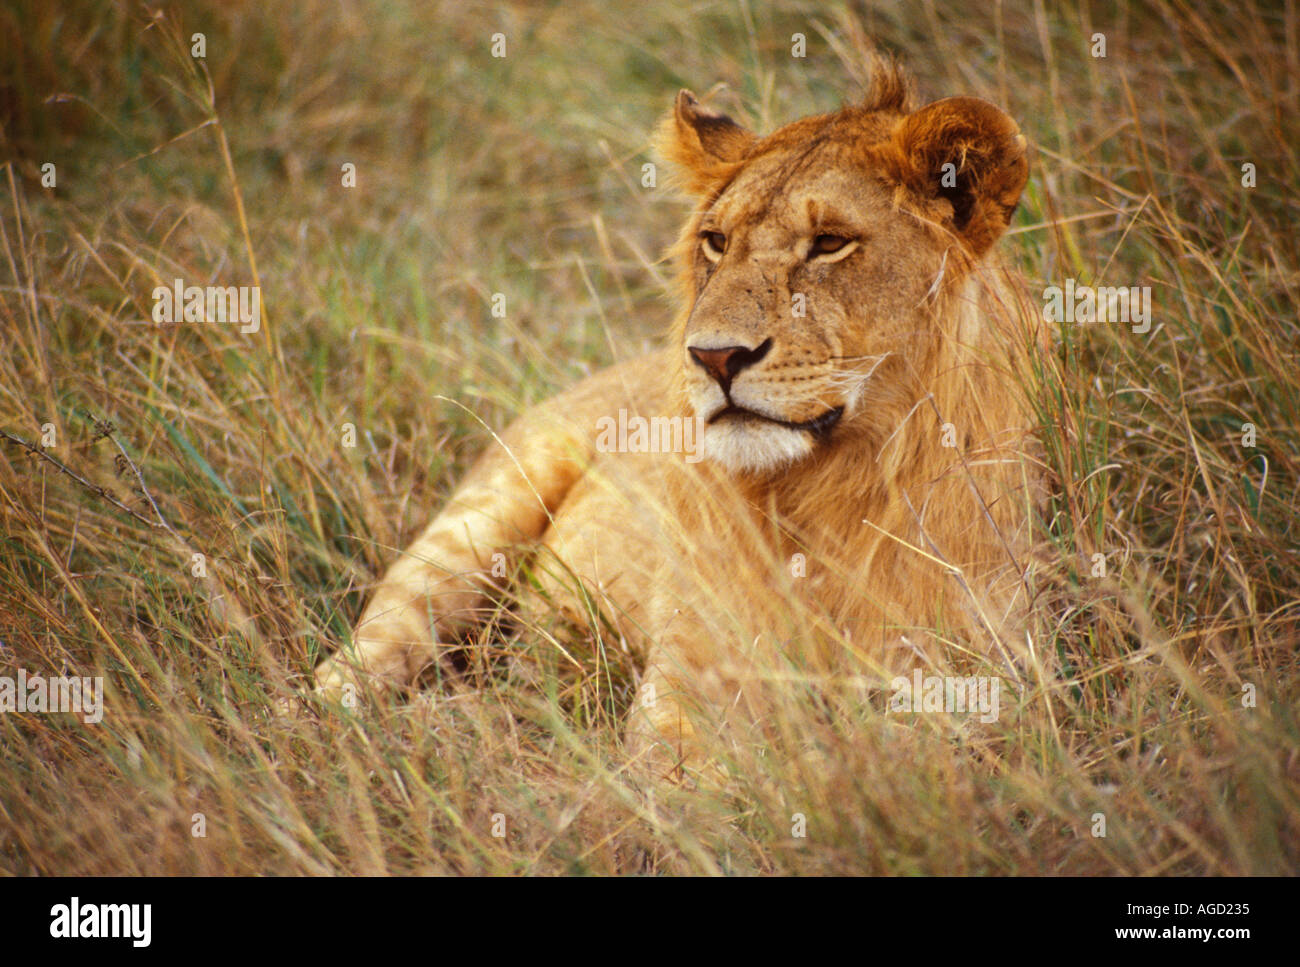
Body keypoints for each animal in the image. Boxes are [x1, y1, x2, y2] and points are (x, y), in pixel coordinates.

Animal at [314, 59, 1046, 778]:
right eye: (716, 241)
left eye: (831, 243)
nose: (715, 355)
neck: (821, 490)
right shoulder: (689, 676)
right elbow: (679, 780)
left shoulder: (971, 678)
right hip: (474, 523)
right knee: (358, 659)